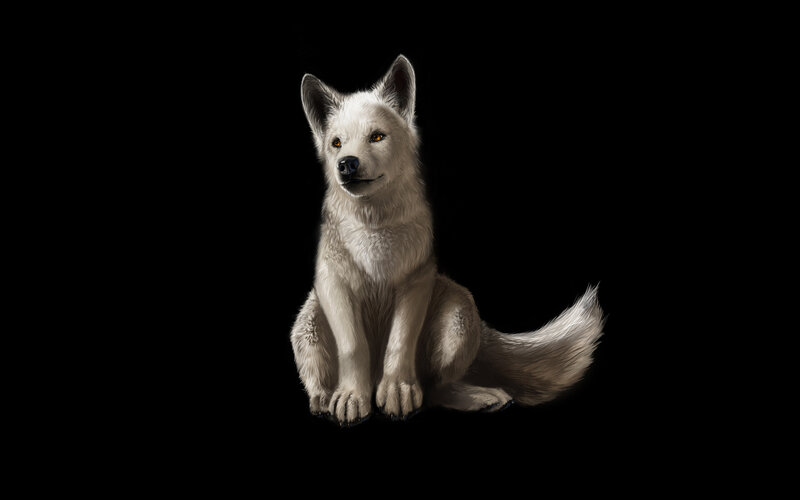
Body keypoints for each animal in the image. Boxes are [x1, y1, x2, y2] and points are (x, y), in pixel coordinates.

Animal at [291, 55, 604, 425]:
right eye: (337, 143)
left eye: (377, 136)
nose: (346, 165)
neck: (373, 225)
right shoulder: (333, 284)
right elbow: (353, 346)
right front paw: (353, 397)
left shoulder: (416, 282)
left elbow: (400, 343)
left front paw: (397, 391)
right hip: (308, 321)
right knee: (332, 383)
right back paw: (326, 399)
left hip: (459, 309)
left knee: (436, 389)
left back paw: (478, 397)